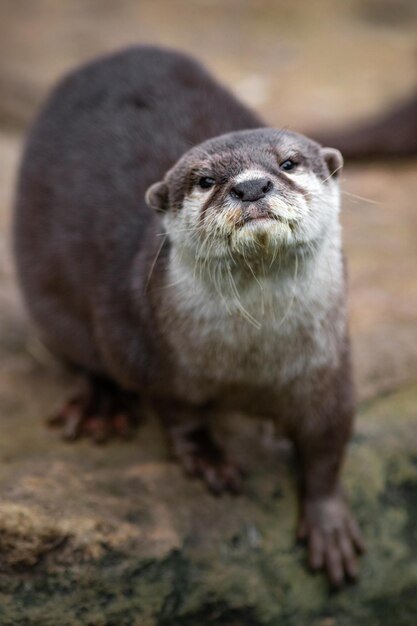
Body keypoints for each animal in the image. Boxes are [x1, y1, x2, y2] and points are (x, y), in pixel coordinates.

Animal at [14, 45, 362, 584]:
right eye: (205, 180)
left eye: (288, 162)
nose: (252, 186)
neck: (250, 359)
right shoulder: (150, 352)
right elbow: (179, 414)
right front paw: (209, 461)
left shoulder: (328, 366)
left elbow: (328, 444)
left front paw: (330, 524)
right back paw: (101, 405)